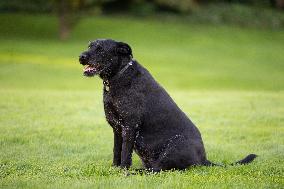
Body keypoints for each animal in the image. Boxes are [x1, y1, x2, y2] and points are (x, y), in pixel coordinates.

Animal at [78, 38, 258, 171]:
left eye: (100, 49)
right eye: (90, 46)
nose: (81, 57)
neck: (119, 76)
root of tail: (204, 159)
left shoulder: (130, 126)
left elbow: (125, 154)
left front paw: (123, 171)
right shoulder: (117, 128)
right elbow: (117, 151)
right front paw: (114, 169)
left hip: (173, 146)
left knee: (156, 170)